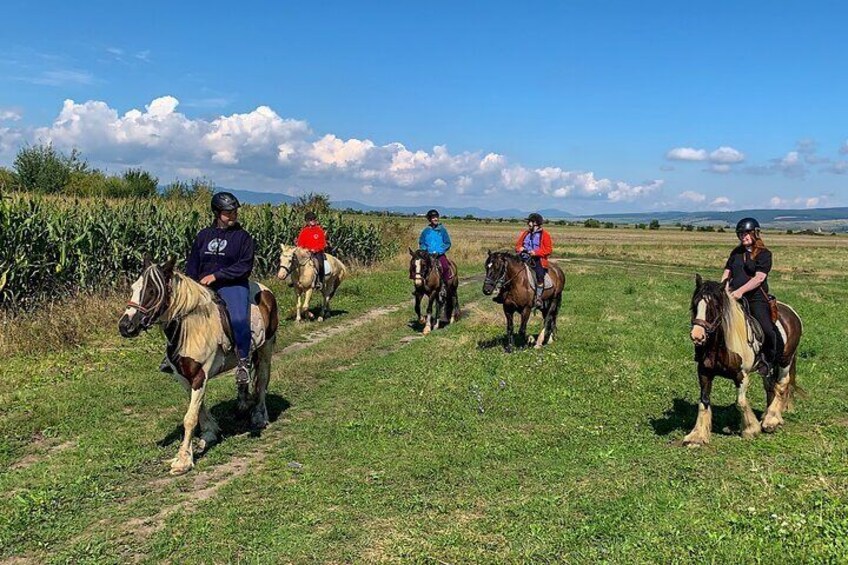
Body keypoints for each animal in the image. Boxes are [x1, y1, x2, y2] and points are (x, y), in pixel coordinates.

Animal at [117, 258, 278, 474]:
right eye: (134, 288)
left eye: (152, 291)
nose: (125, 327)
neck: (191, 328)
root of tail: (265, 290)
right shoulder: (184, 378)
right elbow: (198, 408)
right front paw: (210, 433)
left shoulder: (200, 376)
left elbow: (190, 418)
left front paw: (183, 461)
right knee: (245, 376)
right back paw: (243, 405)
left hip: (266, 348)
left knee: (262, 380)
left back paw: (260, 417)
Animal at [684, 274, 804, 446]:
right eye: (694, 304)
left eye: (715, 306)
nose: (697, 336)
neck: (723, 344)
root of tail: (791, 312)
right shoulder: (704, 372)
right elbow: (704, 402)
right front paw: (697, 436)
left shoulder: (742, 376)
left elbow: (740, 402)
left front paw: (751, 429)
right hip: (767, 368)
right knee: (770, 387)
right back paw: (770, 417)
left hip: (785, 360)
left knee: (781, 385)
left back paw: (771, 421)